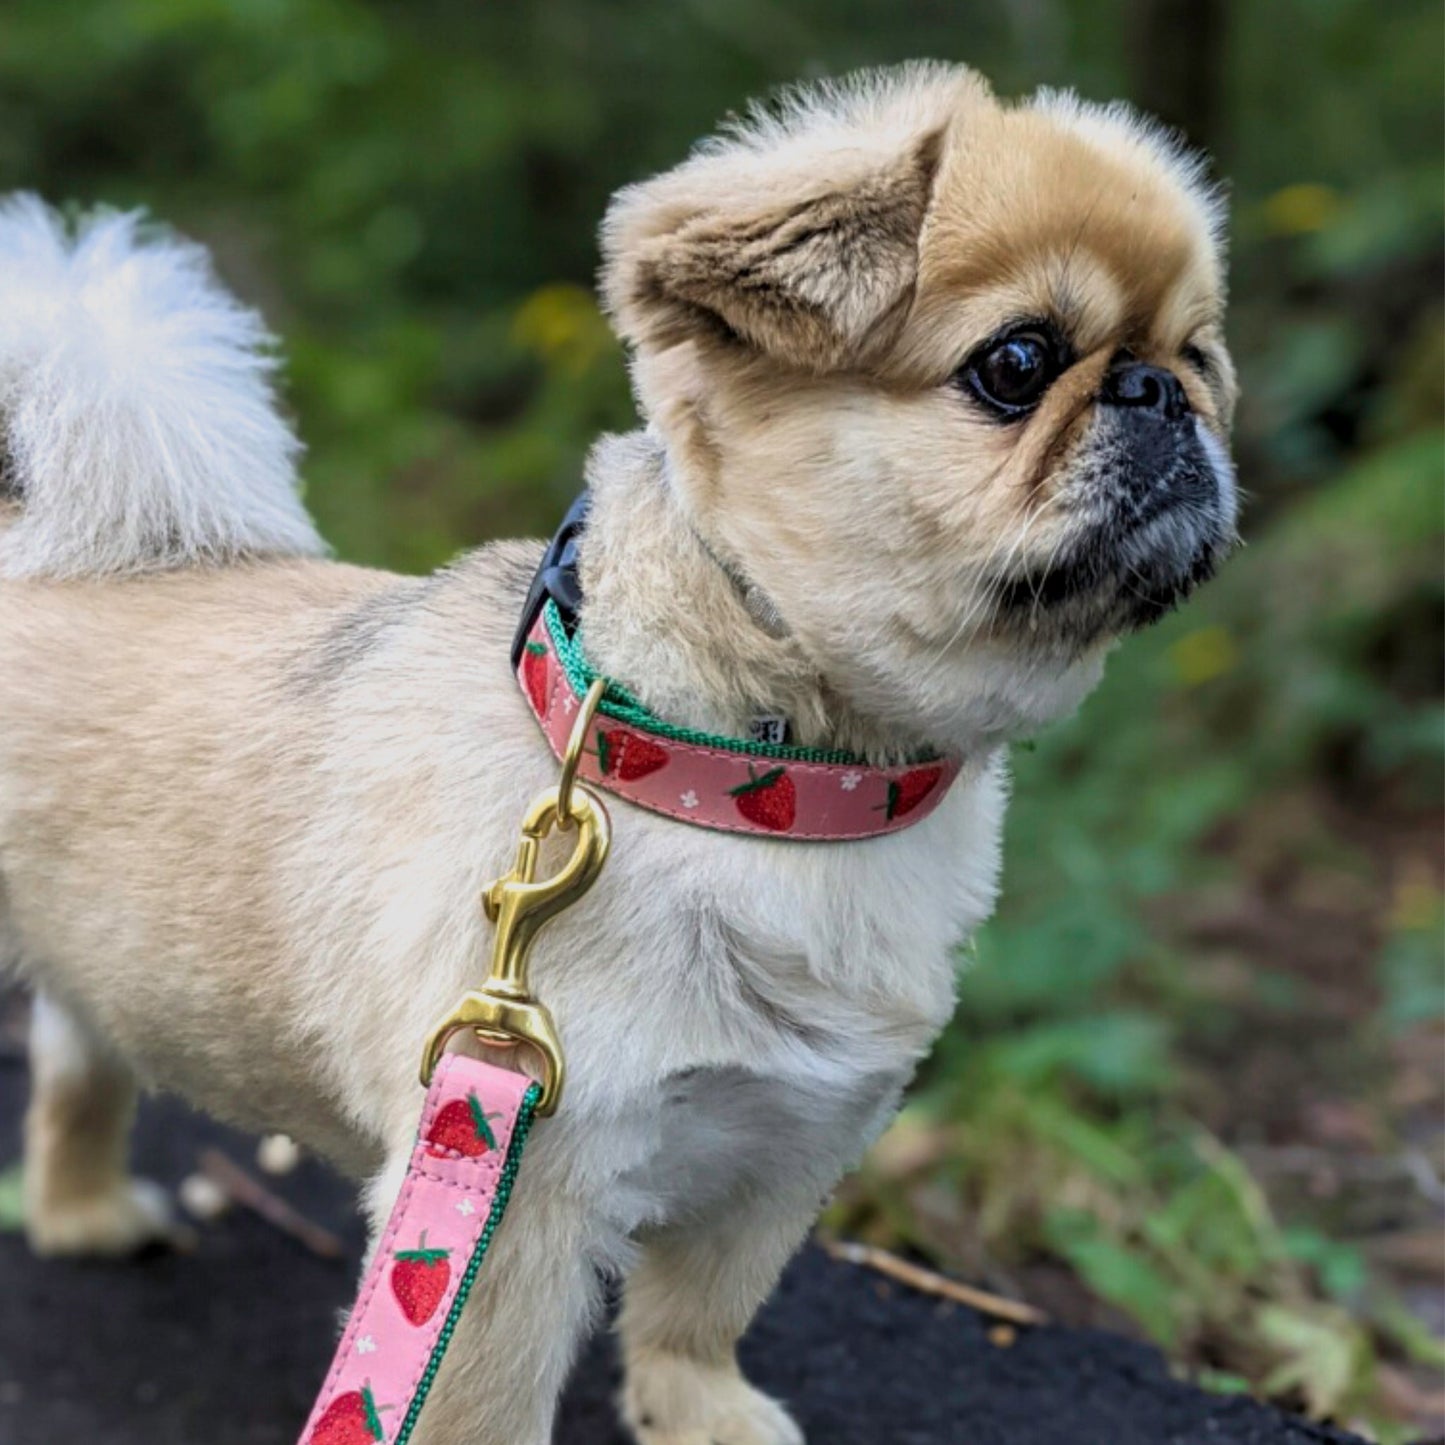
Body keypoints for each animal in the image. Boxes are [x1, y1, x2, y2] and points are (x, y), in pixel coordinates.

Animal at [5, 65, 1236, 1445]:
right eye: (1016, 363)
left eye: (1200, 358)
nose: (1158, 393)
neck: (765, 789)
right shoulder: (511, 1185)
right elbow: (477, 1407)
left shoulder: (787, 1151)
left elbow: (695, 1317)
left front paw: (702, 1415)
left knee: (74, 1065)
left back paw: (80, 1212)